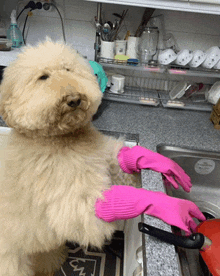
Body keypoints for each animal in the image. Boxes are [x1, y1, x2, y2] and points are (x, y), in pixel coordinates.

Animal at [0, 40, 138, 274]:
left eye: (67, 69)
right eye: (43, 77)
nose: (74, 99)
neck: (61, 137)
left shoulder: (102, 154)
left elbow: (119, 160)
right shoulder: (71, 202)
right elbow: (91, 211)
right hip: (11, 260)